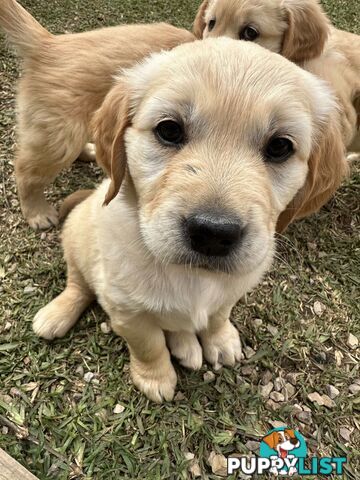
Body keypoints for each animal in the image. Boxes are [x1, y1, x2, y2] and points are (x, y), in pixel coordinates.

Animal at [33, 37, 346, 402]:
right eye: (168, 129)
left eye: (280, 146)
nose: (213, 233)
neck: (193, 276)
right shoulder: (126, 311)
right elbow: (149, 345)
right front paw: (155, 378)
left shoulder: (231, 291)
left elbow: (217, 316)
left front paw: (220, 341)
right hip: (76, 240)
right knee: (78, 285)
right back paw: (56, 315)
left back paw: (186, 346)